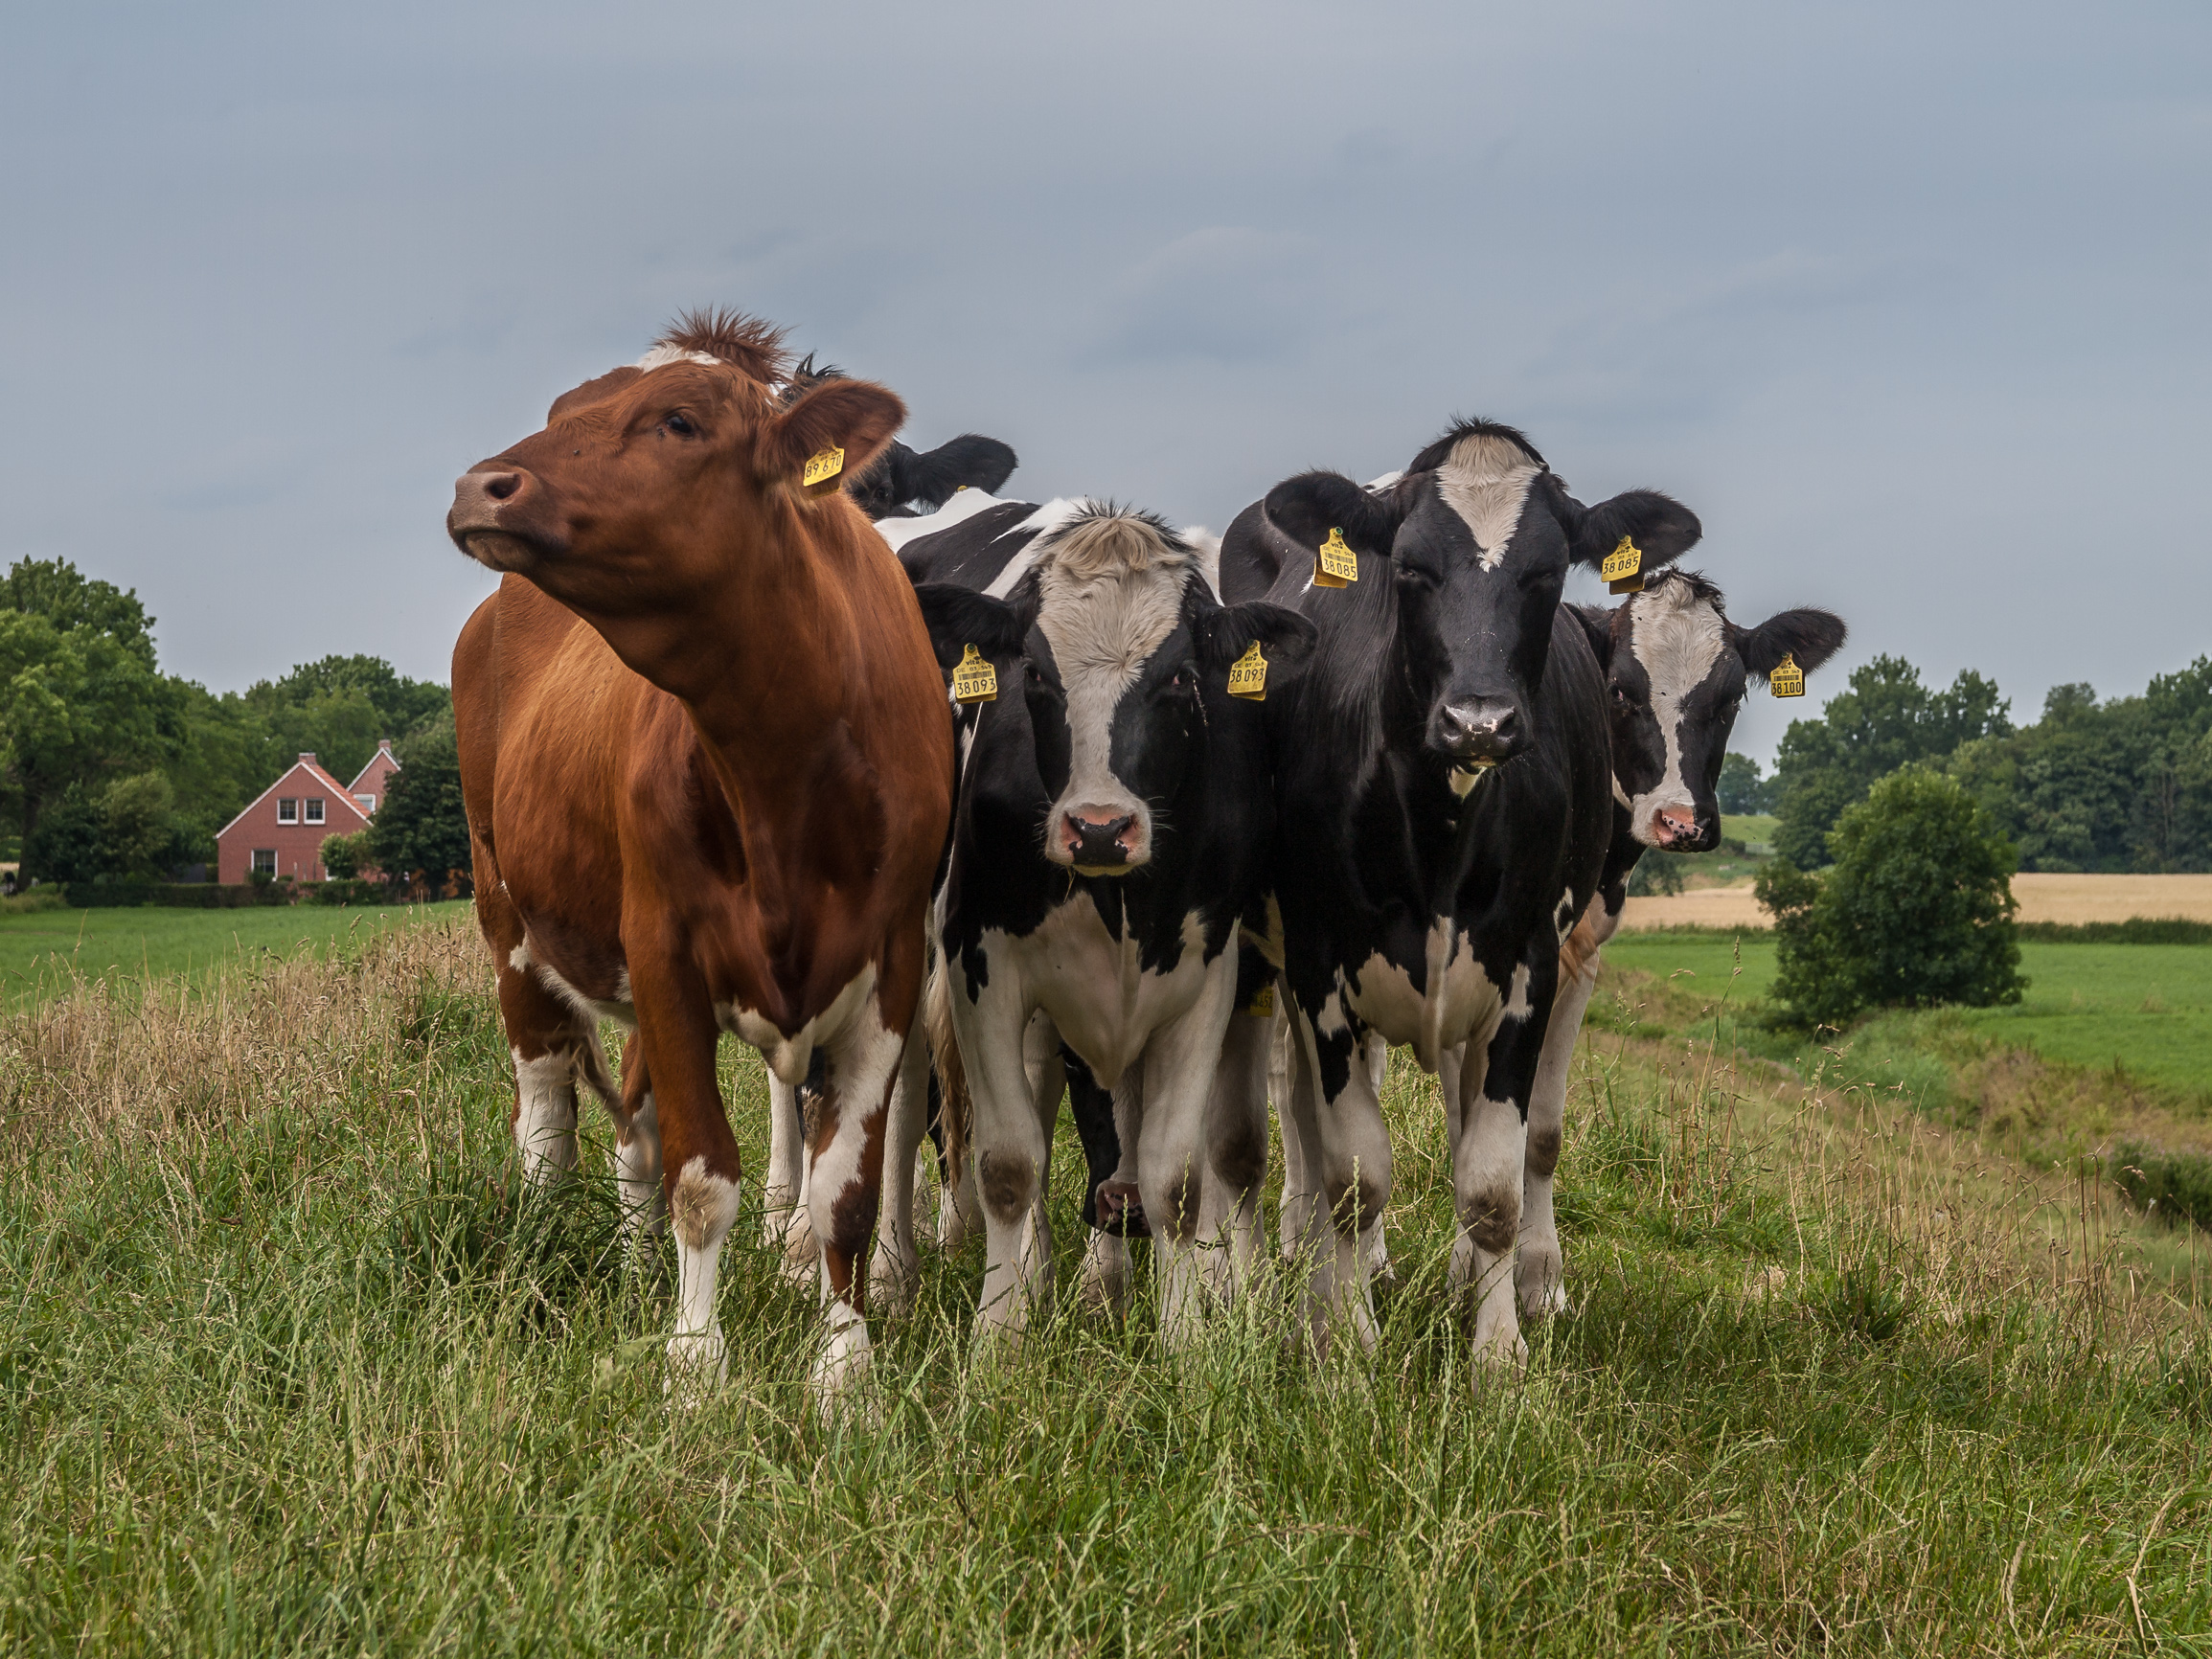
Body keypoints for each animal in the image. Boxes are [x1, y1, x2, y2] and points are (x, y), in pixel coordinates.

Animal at [444, 310, 953, 1415]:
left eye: (677, 421)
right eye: (564, 411)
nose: (480, 485)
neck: (782, 753)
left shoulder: (893, 962)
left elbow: (845, 1189)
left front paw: (843, 1368)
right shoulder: (668, 951)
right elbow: (701, 1176)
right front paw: (694, 1361)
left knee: (629, 1129)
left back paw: (633, 1271)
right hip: (509, 918)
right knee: (547, 1115)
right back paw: (540, 1254)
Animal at [889, 495, 1314, 1342]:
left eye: (1181, 677)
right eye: (1034, 676)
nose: (1097, 828)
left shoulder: (1204, 983)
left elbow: (1177, 1177)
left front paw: (1186, 1340)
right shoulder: (981, 970)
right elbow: (1009, 1165)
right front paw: (999, 1337)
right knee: (903, 1106)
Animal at [1234, 420, 1704, 1378]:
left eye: (1546, 573)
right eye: (1411, 569)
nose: (1478, 722)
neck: (1439, 833)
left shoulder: (1527, 969)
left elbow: (1492, 1185)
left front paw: (1497, 1354)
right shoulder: (1320, 970)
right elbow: (1353, 1177)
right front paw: (1346, 1342)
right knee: (1304, 1132)